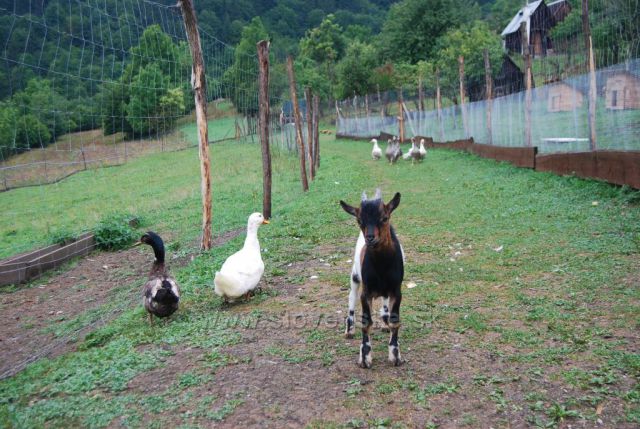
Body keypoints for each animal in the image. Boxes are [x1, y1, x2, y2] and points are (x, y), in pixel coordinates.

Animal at [340, 189, 404, 368]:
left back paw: (384, 322)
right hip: (355, 277)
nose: (370, 238)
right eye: (359, 220)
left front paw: (395, 355)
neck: (382, 266)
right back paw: (349, 329)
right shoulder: (366, 293)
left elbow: (395, 321)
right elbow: (366, 322)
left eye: (384, 218)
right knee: (351, 299)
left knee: (384, 303)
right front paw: (365, 357)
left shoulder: (396, 290)